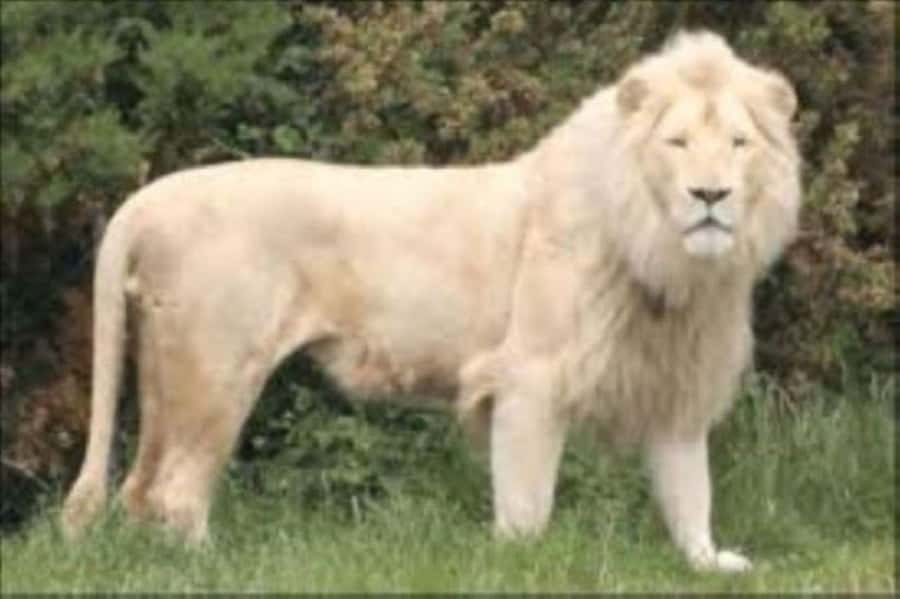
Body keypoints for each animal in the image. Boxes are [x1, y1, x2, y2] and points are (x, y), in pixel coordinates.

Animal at [62, 31, 800, 572]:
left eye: (739, 143)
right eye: (677, 143)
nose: (711, 195)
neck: (666, 257)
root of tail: (148, 198)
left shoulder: (677, 381)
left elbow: (689, 488)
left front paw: (710, 562)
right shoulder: (528, 378)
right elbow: (527, 498)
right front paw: (521, 562)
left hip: (167, 372)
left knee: (140, 489)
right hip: (216, 369)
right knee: (178, 491)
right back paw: (206, 566)